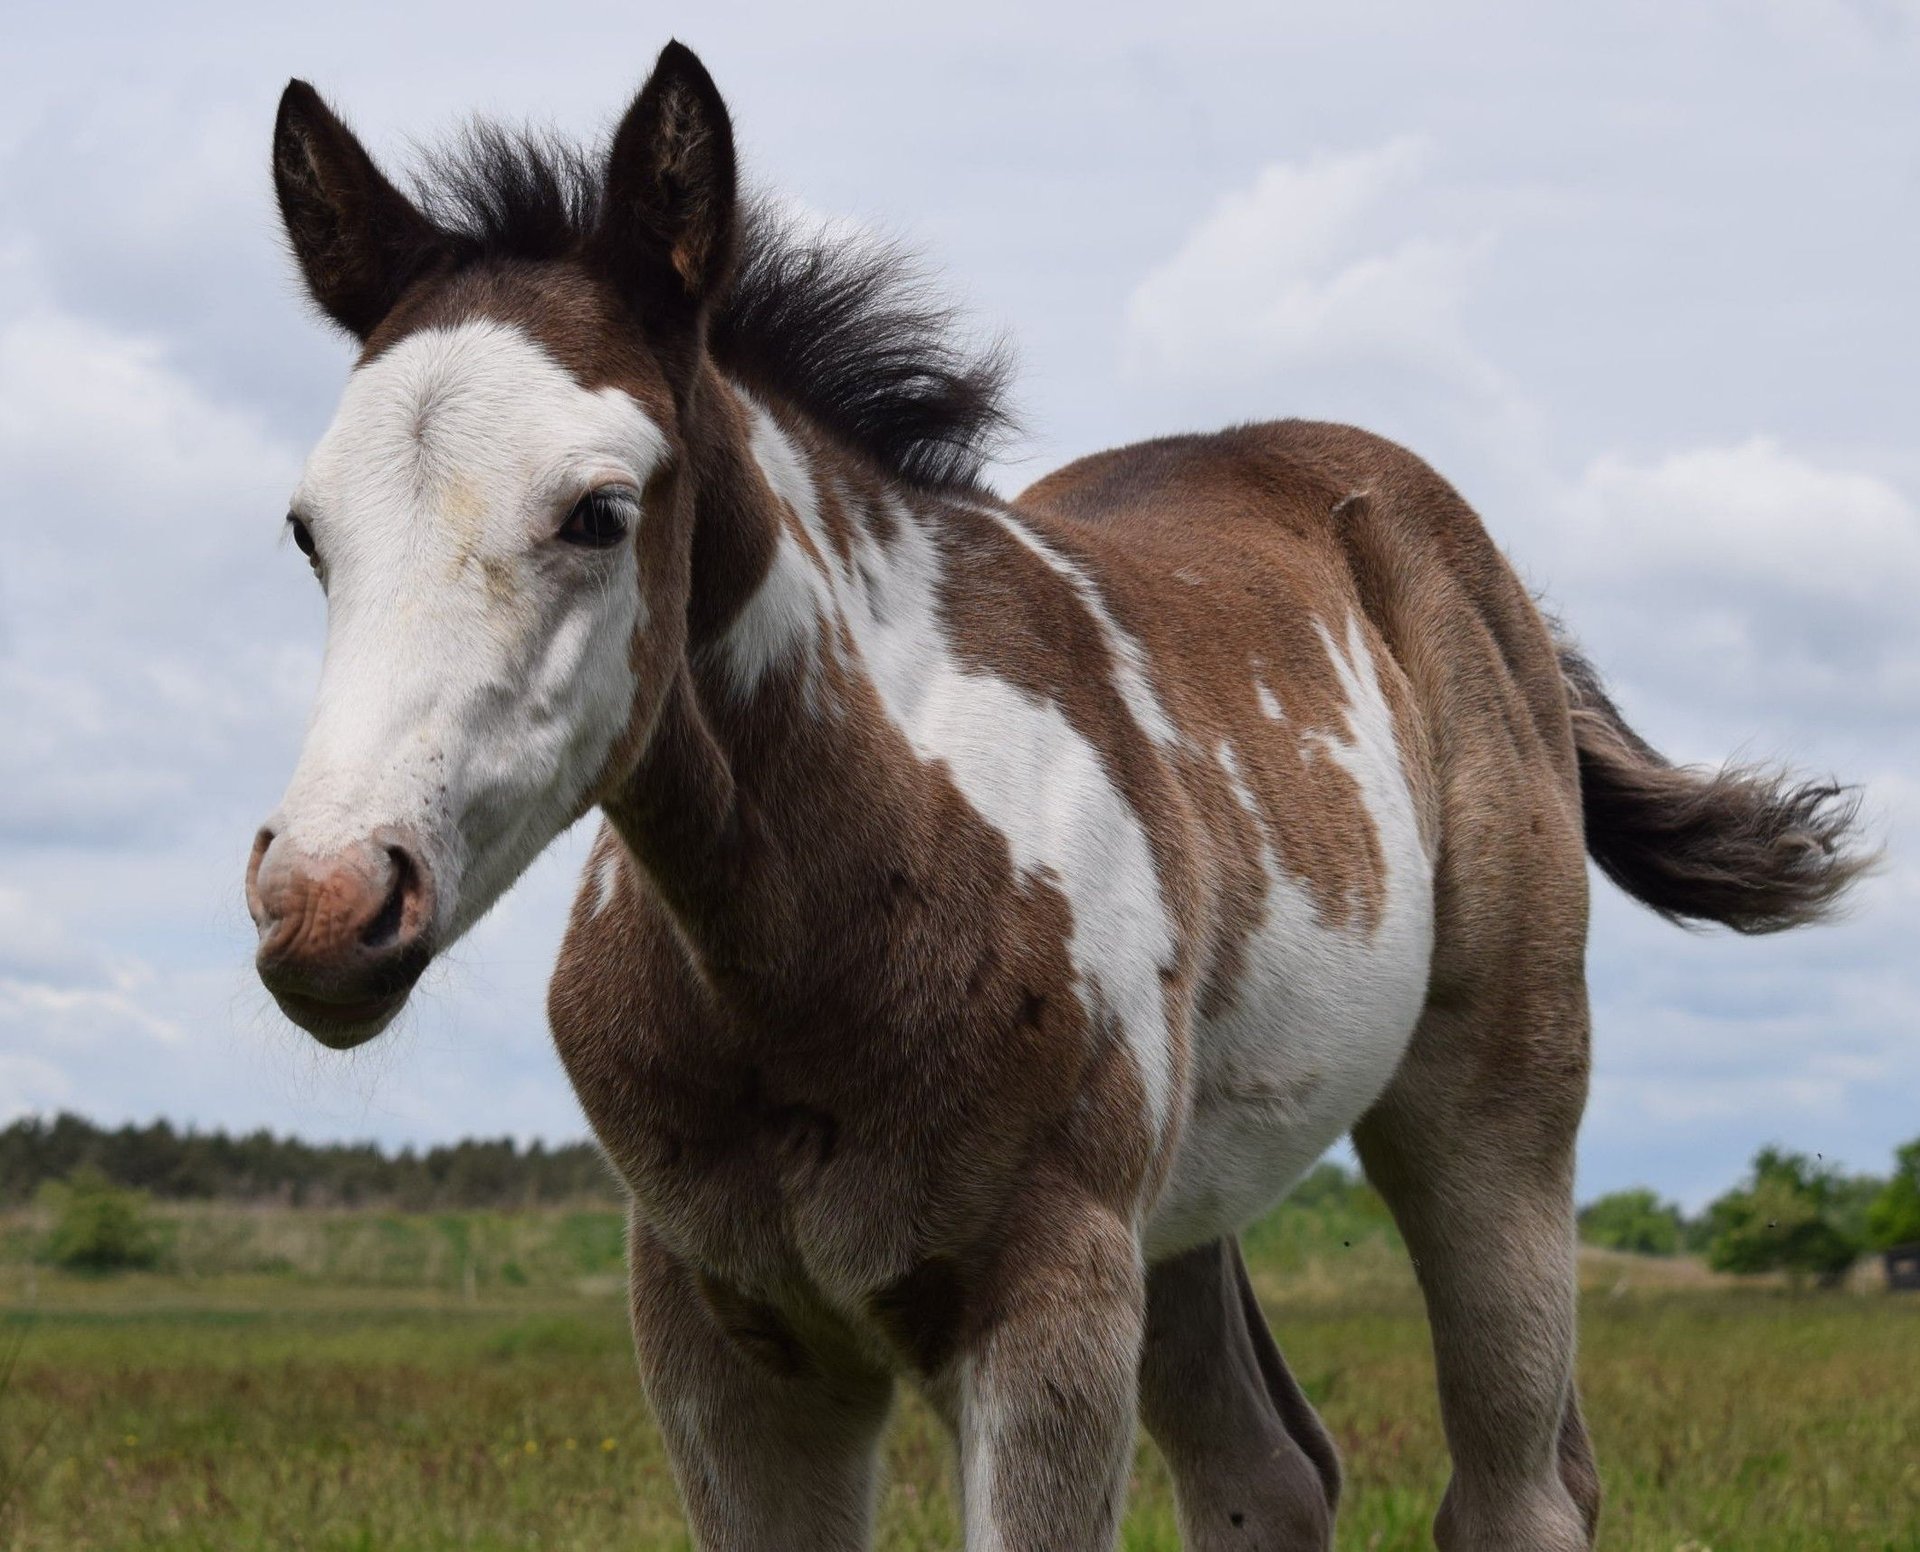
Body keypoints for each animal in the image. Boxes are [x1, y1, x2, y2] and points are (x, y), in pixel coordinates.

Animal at [248, 42, 1868, 1551]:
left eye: (597, 512)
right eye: (309, 532)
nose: (326, 899)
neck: (821, 927)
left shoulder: (1046, 1304)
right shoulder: (722, 1334)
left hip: (1492, 1106)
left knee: (1517, 1487)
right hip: (1186, 1212)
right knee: (1268, 1475)